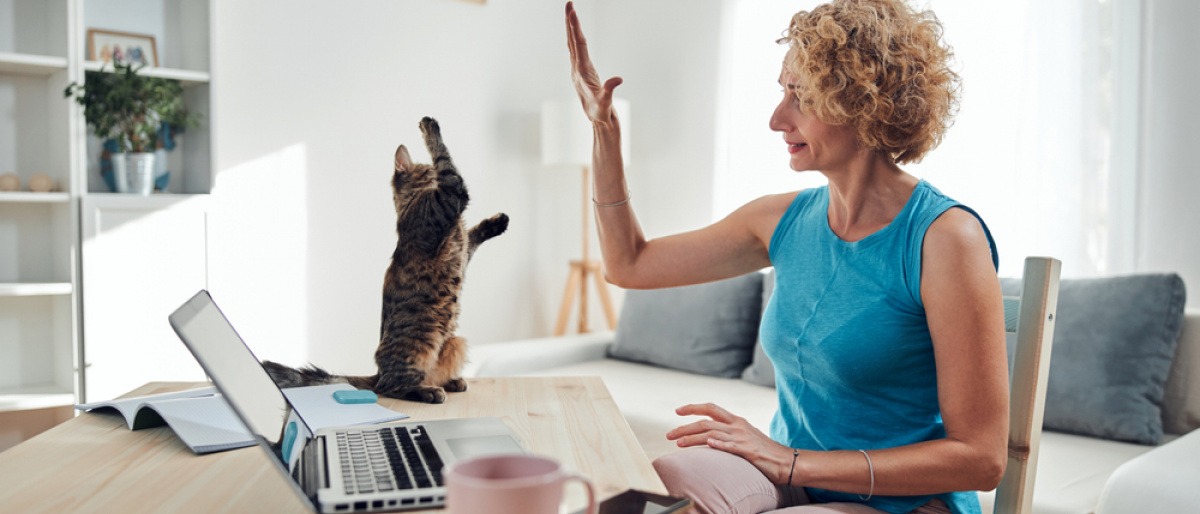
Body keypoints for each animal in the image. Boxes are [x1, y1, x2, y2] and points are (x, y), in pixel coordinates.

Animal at [262, 117, 506, 405]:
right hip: (422, 341)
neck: (411, 201)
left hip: (455, 341)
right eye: (427, 170)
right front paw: (429, 127)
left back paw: (450, 382)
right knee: (391, 386)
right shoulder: (449, 196)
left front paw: (498, 222)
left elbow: (474, 234)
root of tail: (376, 373)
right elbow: (445, 159)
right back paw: (428, 391)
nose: (430, 172)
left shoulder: (462, 251)